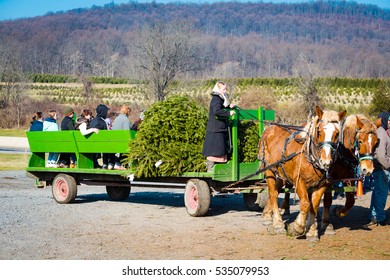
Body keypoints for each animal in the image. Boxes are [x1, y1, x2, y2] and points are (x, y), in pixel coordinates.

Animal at [258, 106, 346, 240]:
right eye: (319, 131)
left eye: (336, 134)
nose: (325, 161)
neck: (309, 155)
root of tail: (268, 128)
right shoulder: (298, 180)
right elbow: (305, 203)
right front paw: (298, 227)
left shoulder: (323, 184)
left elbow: (314, 204)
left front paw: (312, 231)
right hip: (269, 170)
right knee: (273, 194)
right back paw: (278, 223)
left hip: (280, 173)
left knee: (276, 191)